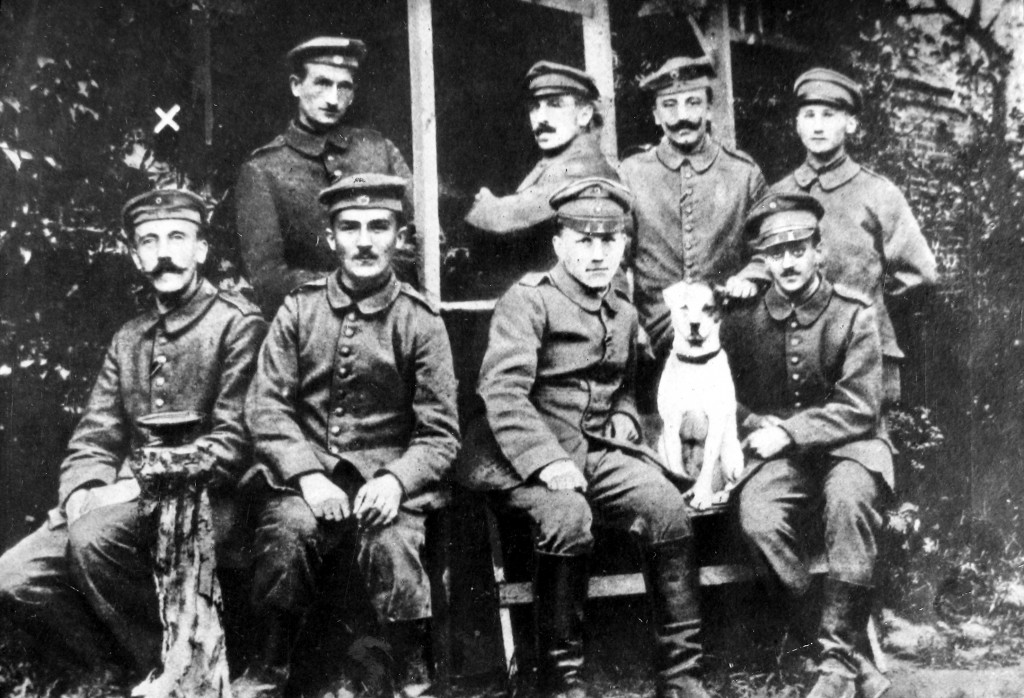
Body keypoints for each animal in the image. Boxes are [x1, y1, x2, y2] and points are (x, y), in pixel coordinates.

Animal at [655, 280, 745, 507]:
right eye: (684, 307)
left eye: (707, 308)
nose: (694, 325)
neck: (695, 362)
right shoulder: (672, 423)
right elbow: (677, 466)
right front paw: (685, 492)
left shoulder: (715, 421)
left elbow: (707, 466)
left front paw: (702, 497)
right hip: (661, 447)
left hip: (730, 452)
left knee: (730, 482)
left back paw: (717, 495)